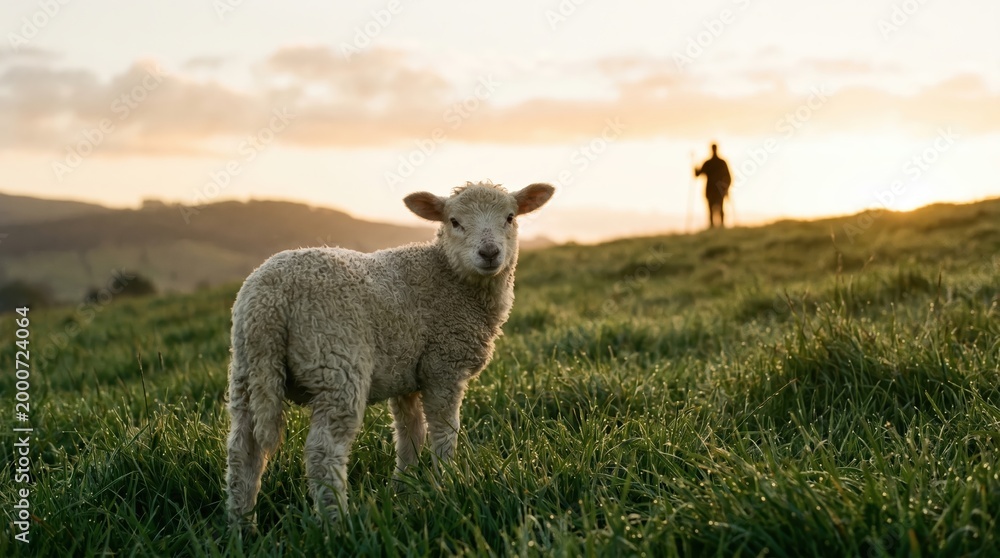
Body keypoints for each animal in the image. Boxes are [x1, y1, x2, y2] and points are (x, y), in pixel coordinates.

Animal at [225, 181, 554, 525]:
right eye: (454, 221)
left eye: (510, 217)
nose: (489, 253)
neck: (449, 277)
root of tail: (269, 301)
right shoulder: (443, 365)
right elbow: (444, 430)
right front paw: (447, 483)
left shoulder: (406, 371)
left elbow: (411, 433)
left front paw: (404, 487)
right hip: (334, 362)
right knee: (322, 452)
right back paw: (338, 523)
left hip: (247, 371)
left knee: (242, 452)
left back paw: (241, 525)